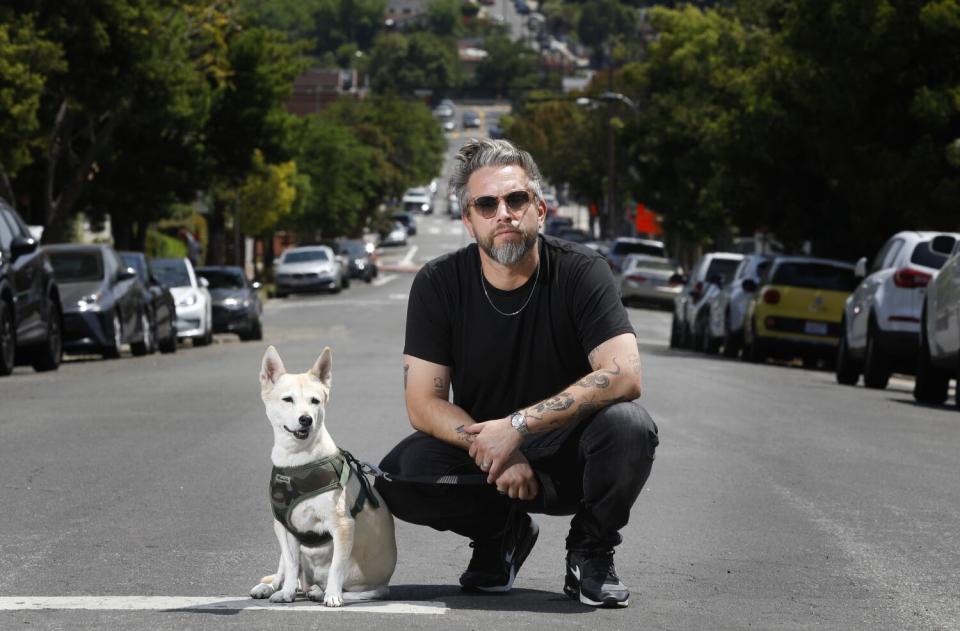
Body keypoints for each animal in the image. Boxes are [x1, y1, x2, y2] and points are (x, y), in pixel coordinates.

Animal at [251, 346, 398, 608]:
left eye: (315, 401)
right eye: (287, 400)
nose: (306, 419)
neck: (298, 461)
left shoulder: (342, 526)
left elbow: (336, 568)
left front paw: (332, 595)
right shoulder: (283, 527)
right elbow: (290, 564)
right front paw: (285, 593)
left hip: (369, 582)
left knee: (357, 588)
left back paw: (321, 591)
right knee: (285, 569)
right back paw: (270, 587)